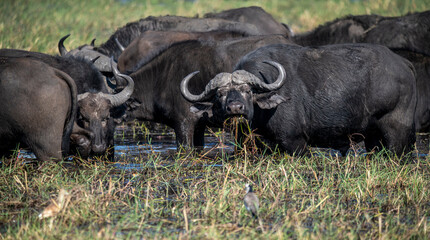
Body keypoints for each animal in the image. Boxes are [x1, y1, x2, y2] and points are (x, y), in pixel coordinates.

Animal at [181, 43, 416, 156]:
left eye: (248, 90)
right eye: (220, 94)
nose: (235, 107)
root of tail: (403, 63)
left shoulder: (295, 142)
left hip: (397, 133)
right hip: (373, 137)